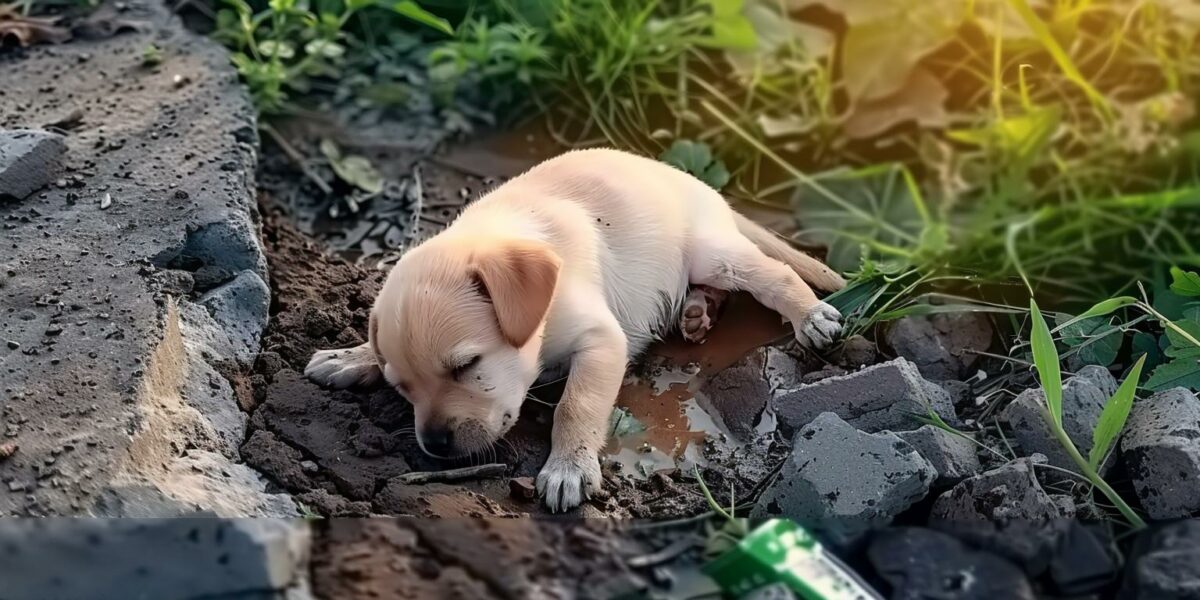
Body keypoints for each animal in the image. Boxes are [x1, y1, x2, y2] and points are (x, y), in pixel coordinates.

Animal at [304, 148, 840, 511]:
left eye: (467, 366)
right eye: (402, 387)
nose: (435, 446)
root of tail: (707, 193)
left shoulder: (602, 341)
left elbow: (575, 404)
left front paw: (568, 468)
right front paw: (352, 355)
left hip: (713, 252)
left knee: (772, 275)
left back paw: (810, 314)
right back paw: (696, 311)